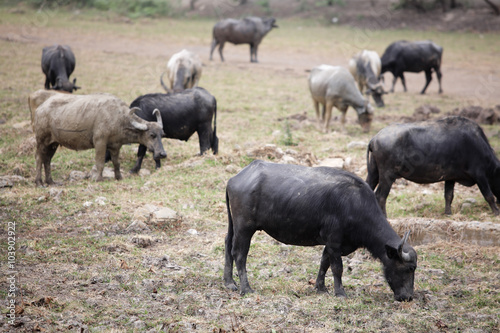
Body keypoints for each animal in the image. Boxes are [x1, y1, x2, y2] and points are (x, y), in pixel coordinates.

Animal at [32, 92, 167, 187]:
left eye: (162, 134)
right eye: (152, 135)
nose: (162, 154)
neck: (119, 118)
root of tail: (39, 109)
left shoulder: (115, 146)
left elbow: (116, 162)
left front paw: (119, 177)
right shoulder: (100, 142)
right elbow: (100, 162)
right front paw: (98, 179)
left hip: (53, 143)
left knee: (47, 160)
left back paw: (50, 181)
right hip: (41, 140)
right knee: (39, 158)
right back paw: (39, 182)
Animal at [225, 160, 416, 302]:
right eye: (409, 269)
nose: (407, 297)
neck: (355, 205)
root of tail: (235, 179)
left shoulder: (337, 244)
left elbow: (324, 262)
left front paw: (321, 287)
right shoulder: (334, 240)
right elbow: (337, 267)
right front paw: (340, 292)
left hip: (233, 224)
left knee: (228, 245)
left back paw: (229, 283)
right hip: (245, 227)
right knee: (239, 254)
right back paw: (246, 288)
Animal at [366, 116, 500, 215]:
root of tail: (375, 138)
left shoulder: (450, 178)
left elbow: (449, 195)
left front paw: (448, 213)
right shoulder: (480, 175)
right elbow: (488, 195)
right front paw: (496, 212)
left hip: (373, 172)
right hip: (387, 176)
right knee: (380, 196)